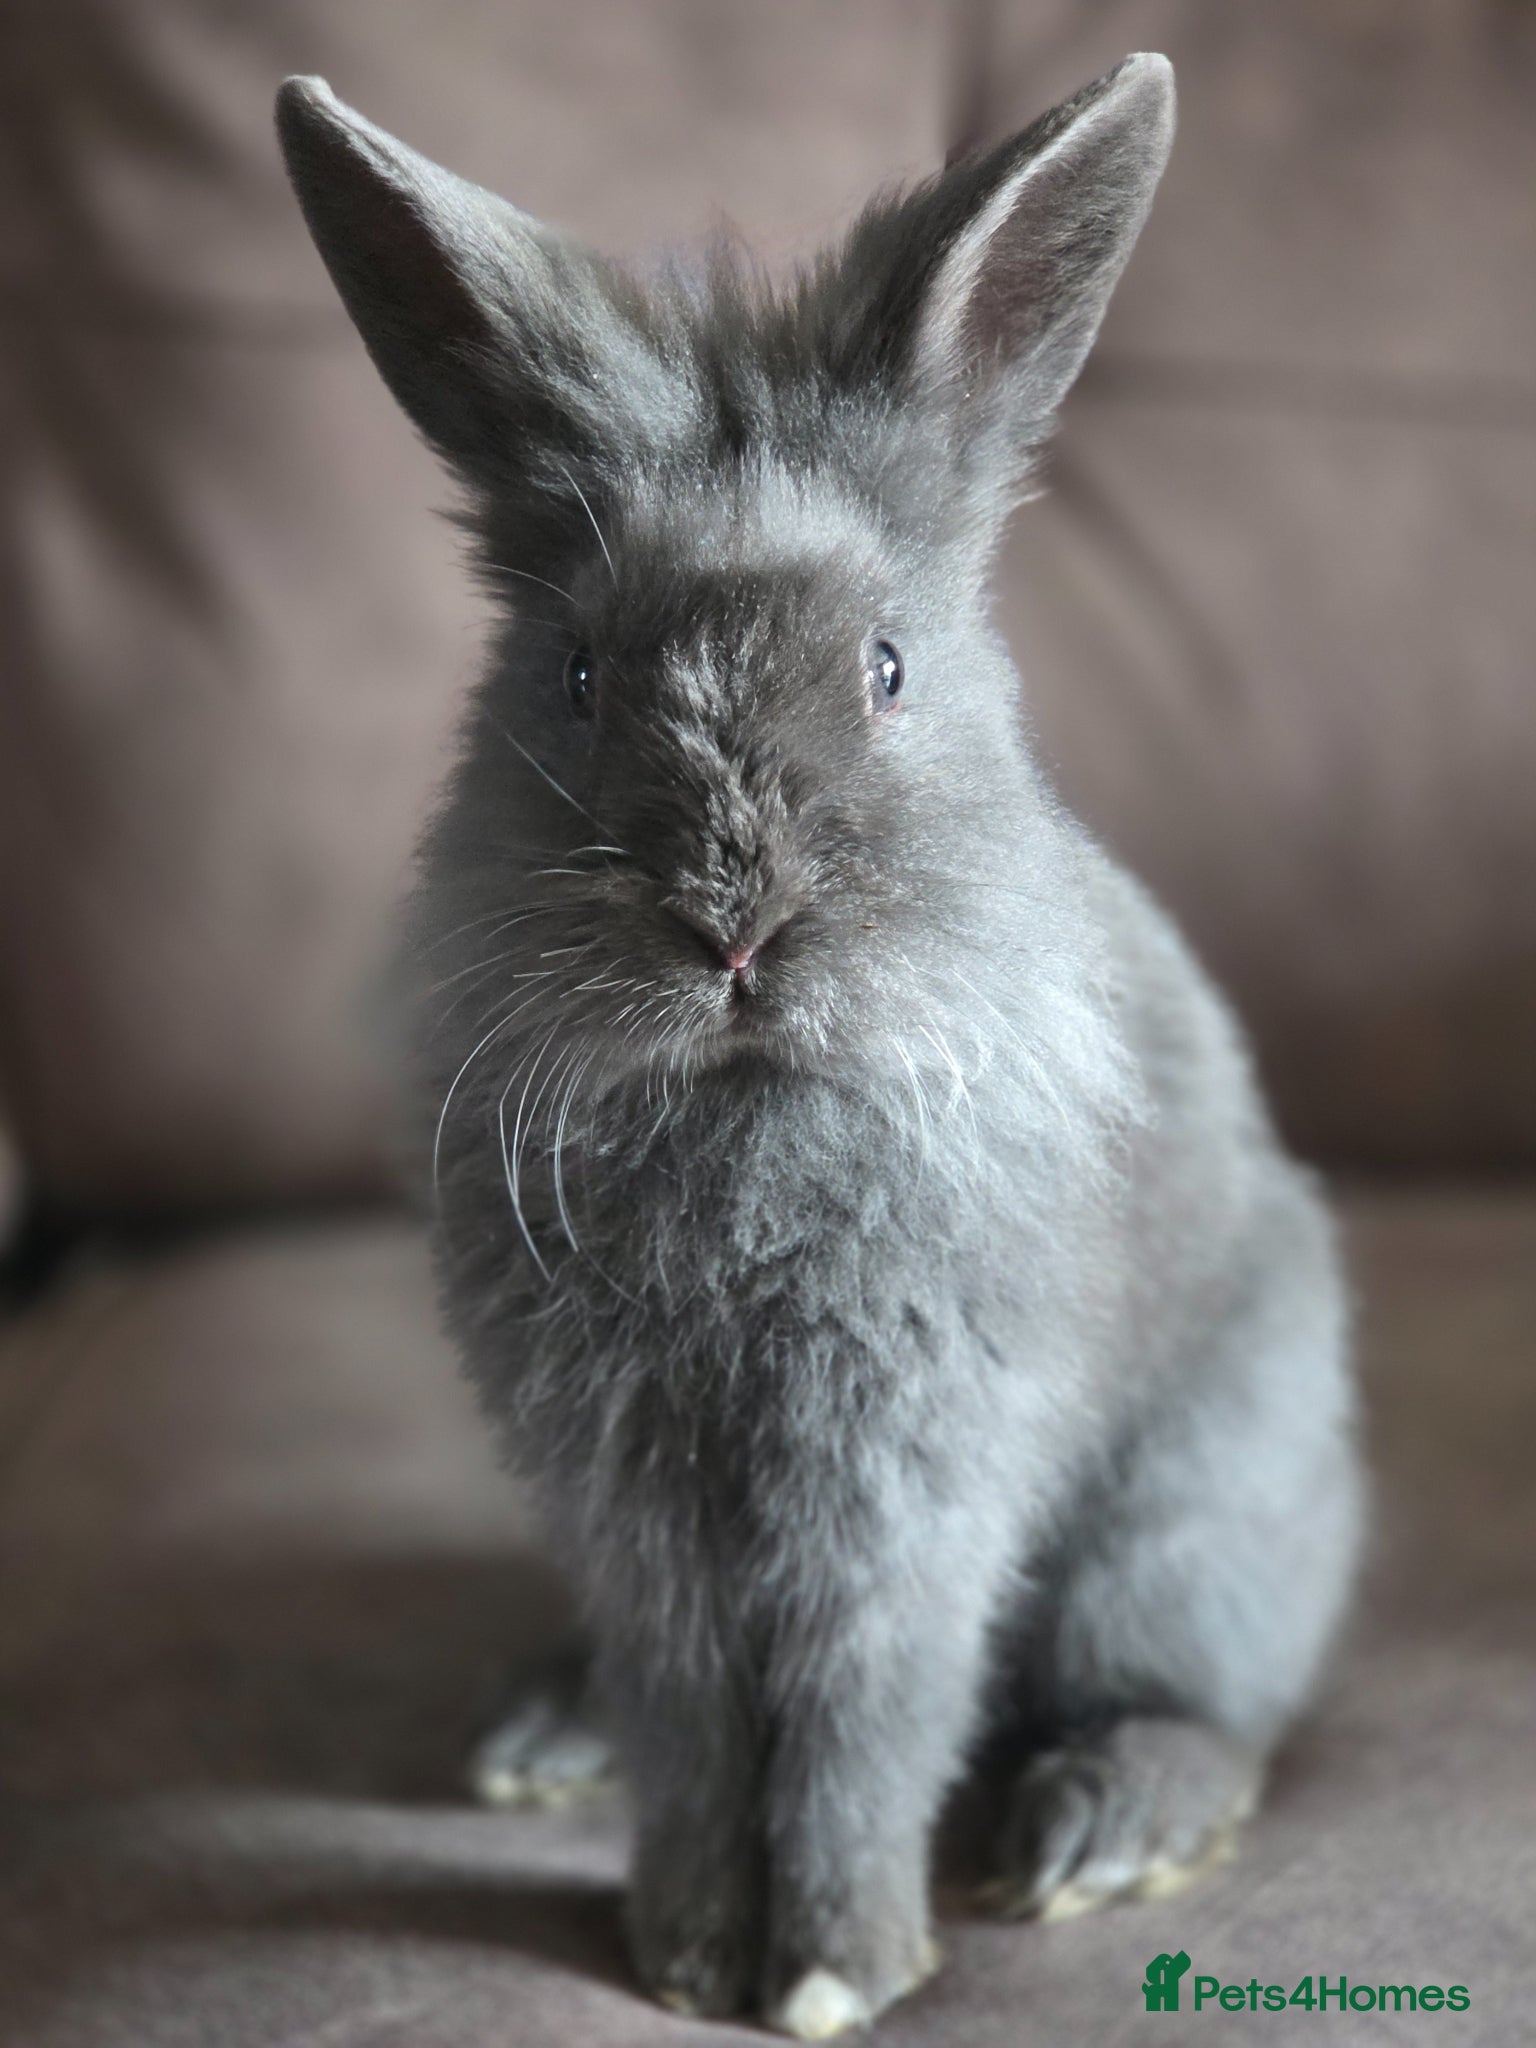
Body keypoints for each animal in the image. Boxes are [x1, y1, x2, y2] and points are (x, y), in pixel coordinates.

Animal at [277, 53, 1362, 2039]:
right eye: (577, 677)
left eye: (885, 667)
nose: (733, 925)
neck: (746, 1110)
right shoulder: (629, 1482)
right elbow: (698, 1703)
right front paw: (699, 1945)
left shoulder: (905, 1468)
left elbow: (865, 1704)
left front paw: (836, 1968)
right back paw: (543, 1739)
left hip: (1195, 1506)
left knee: (1191, 1692)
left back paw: (1106, 1826)